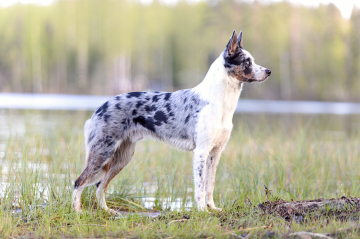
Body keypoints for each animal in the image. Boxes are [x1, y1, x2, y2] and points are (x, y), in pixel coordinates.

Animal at [72, 29, 270, 213]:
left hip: (122, 157)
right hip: (102, 152)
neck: (219, 101)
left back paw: (107, 211)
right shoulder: (201, 152)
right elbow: (200, 186)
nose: (268, 71)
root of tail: (99, 108)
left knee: (100, 186)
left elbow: (210, 185)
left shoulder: (215, 152)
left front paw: (212, 208)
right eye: (247, 62)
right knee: (79, 182)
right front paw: (202, 211)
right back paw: (77, 211)